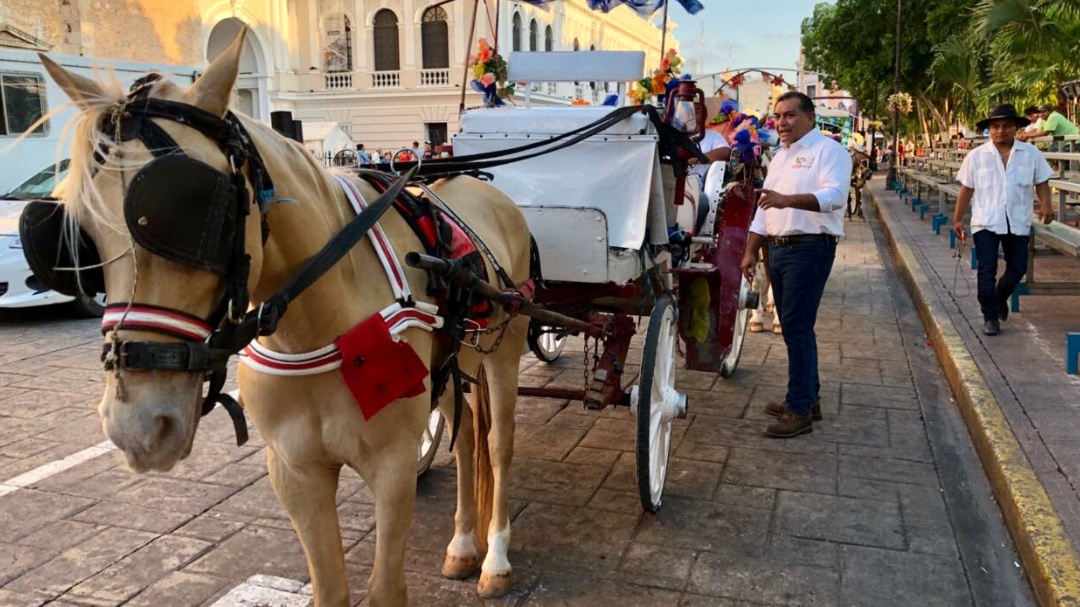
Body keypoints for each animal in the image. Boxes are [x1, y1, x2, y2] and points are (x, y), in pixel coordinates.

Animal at [39, 29, 531, 604]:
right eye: (82, 228)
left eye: (195, 212)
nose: (138, 427)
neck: (319, 326)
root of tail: (480, 185)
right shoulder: (295, 472)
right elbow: (329, 589)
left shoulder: (392, 468)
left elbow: (385, 588)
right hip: (452, 369)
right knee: (469, 432)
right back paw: (462, 544)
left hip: (506, 350)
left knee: (498, 443)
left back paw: (494, 555)